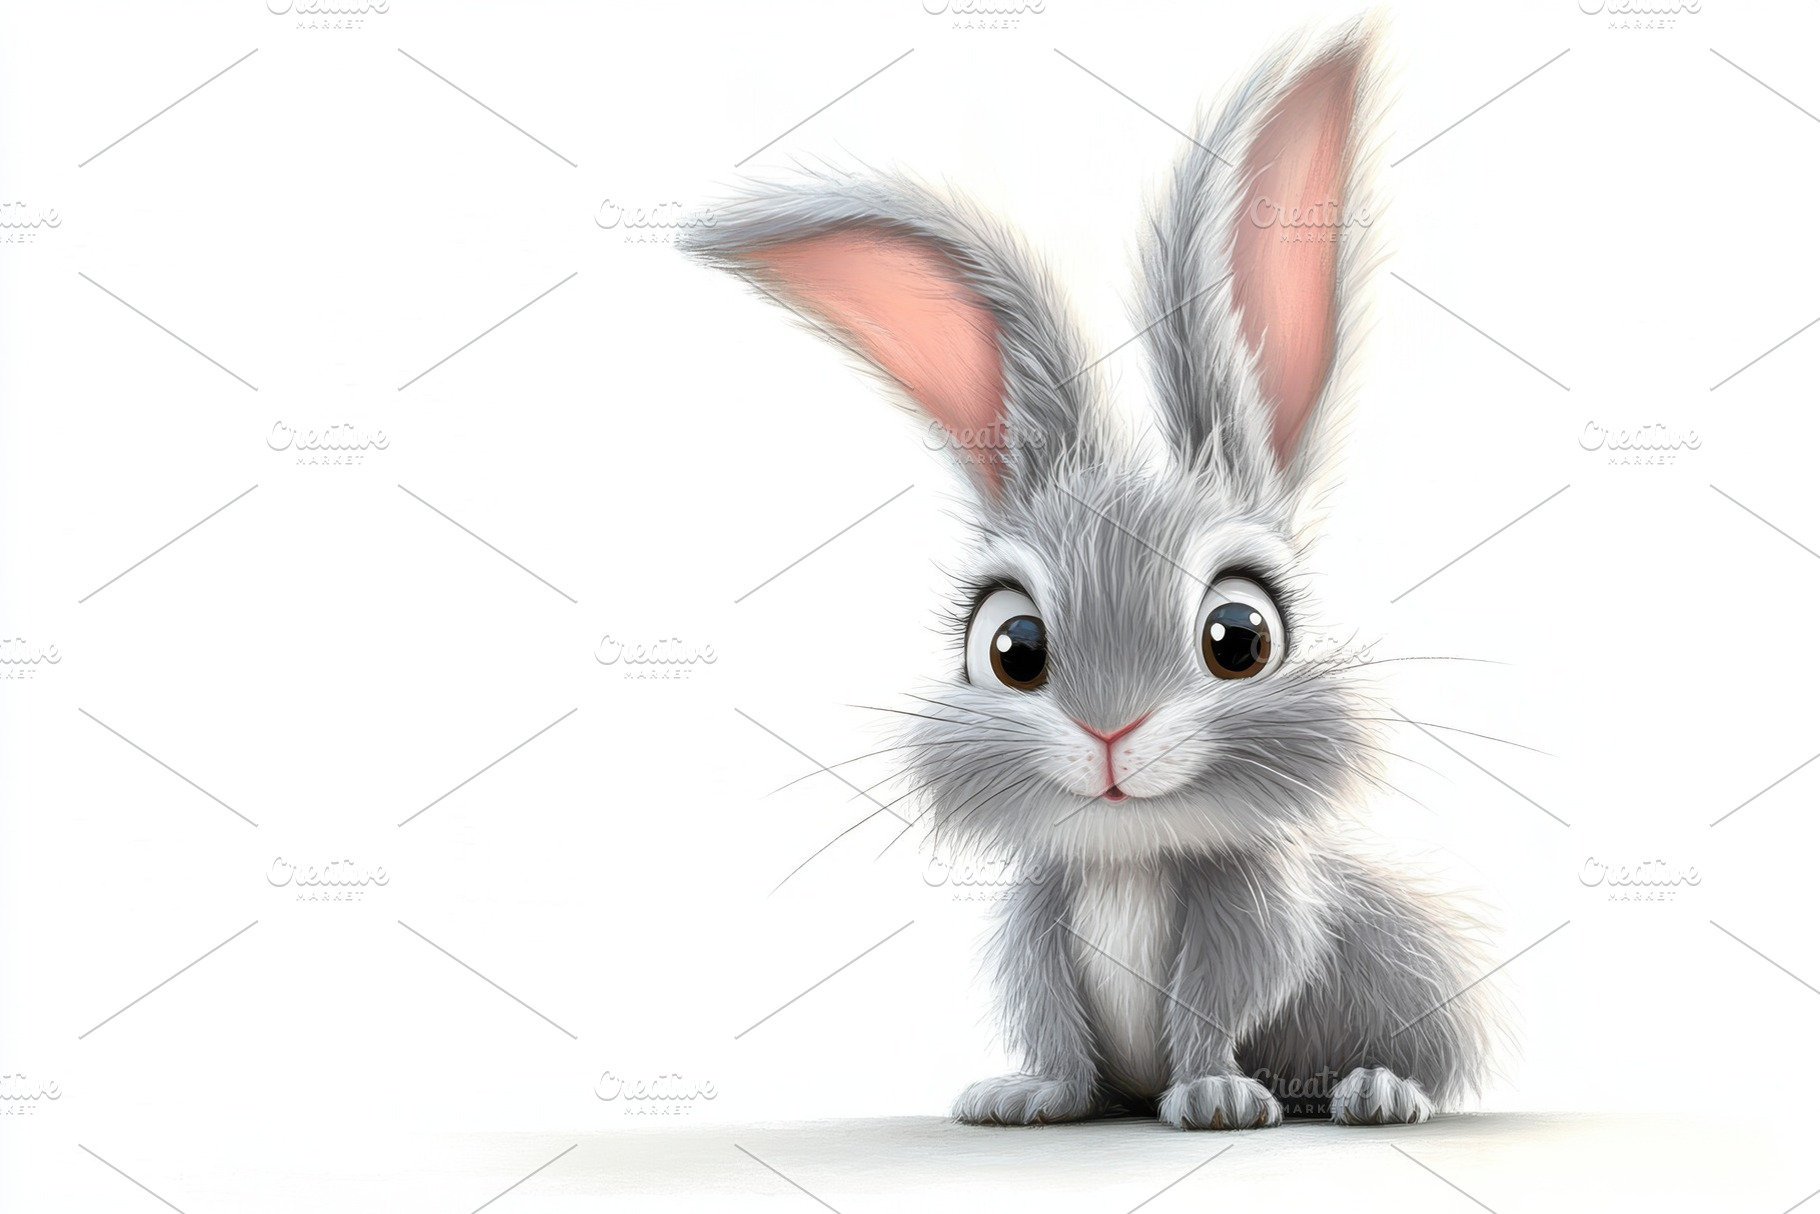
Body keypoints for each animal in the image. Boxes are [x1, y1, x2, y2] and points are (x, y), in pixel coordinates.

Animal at [683, 17, 1502, 1130]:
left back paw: (1375, 1090)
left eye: (1240, 637)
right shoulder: (1034, 923)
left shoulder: (1251, 919)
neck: (1128, 857)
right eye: (1010, 647)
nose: (1109, 729)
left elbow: (1218, 1002)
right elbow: (1048, 1015)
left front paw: (1215, 1097)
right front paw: (1022, 1096)